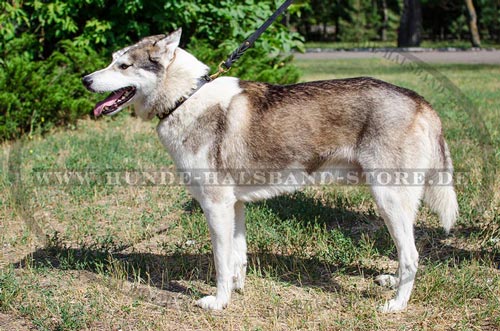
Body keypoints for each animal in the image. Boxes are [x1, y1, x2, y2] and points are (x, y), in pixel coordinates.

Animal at [81, 29, 458, 314]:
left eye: (123, 65)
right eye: (112, 60)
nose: (85, 79)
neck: (186, 98)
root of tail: (420, 101)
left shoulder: (215, 206)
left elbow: (220, 263)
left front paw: (218, 302)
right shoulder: (234, 206)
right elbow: (237, 258)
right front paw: (237, 291)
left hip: (388, 199)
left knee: (412, 256)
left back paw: (396, 305)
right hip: (396, 204)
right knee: (407, 252)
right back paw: (391, 283)